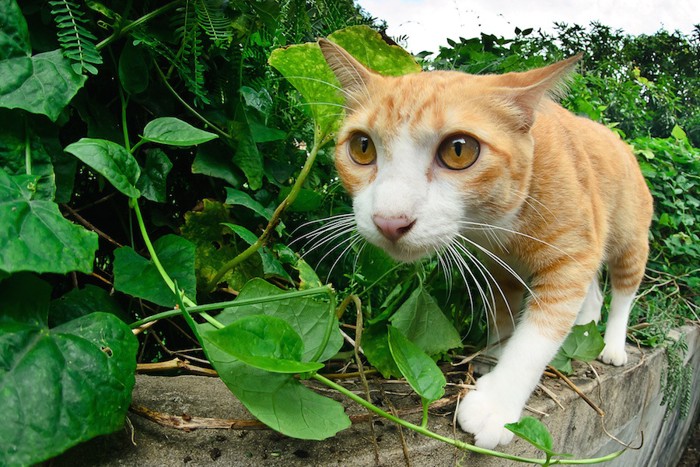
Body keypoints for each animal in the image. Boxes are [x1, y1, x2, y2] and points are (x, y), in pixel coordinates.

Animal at [320, 39, 652, 450]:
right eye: (362, 147)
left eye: (459, 150)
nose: (390, 220)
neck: (496, 223)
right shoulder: (495, 266)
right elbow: (502, 315)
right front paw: (493, 354)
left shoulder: (571, 259)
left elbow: (534, 341)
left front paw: (496, 404)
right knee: (594, 293)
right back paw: (585, 328)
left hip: (628, 239)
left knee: (622, 293)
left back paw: (612, 346)